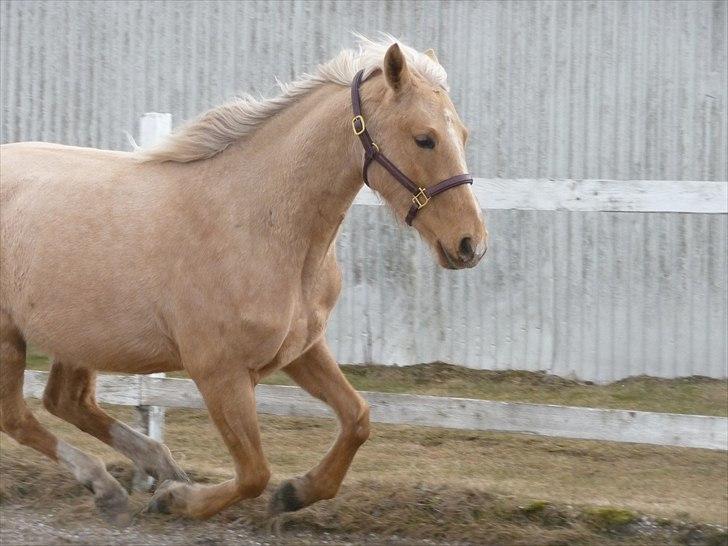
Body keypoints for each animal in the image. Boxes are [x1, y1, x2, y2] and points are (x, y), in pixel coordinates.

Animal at [2, 36, 490, 520]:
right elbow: (254, 473)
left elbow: (358, 419)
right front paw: (177, 501)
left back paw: (154, 467)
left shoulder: (303, 350)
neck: (256, 221)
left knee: (66, 401)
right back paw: (110, 486)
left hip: (81, 338)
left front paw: (295, 492)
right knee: (17, 416)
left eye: (464, 134)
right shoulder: (219, 372)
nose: (471, 244)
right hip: (12, 335)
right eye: (424, 139)